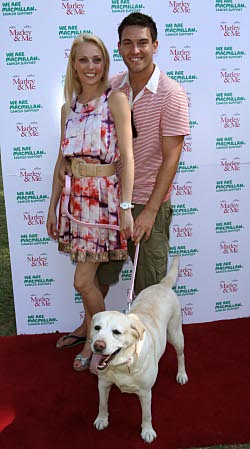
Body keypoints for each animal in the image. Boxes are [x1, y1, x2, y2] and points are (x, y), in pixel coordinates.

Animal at [90, 256, 188, 440]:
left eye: (116, 332)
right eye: (96, 328)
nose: (98, 345)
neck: (122, 366)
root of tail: (162, 284)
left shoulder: (145, 392)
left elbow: (146, 414)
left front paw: (147, 431)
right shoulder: (103, 383)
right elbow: (102, 404)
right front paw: (102, 419)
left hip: (175, 334)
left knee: (180, 355)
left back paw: (181, 374)